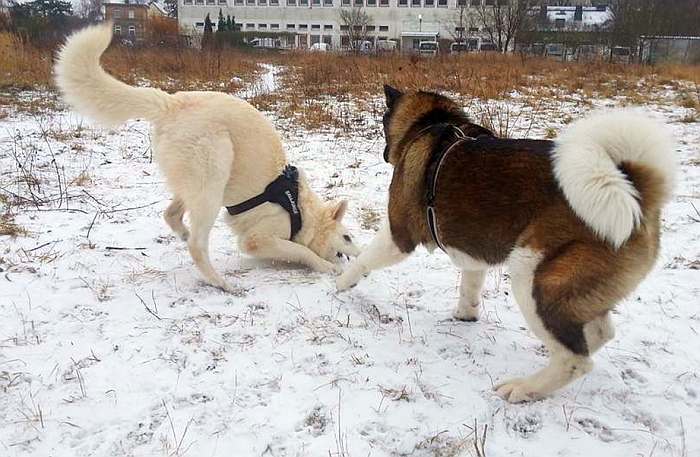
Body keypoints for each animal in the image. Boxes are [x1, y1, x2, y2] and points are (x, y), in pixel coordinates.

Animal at [56, 24, 360, 288]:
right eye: (347, 237)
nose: (358, 256)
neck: (300, 209)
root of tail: (172, 102)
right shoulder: (257, 239)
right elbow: (300, 251)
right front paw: (326, 267)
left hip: (196, 182)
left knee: (171, 214)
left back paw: (183, 233)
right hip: (213, 174)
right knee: (197, 245)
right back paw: (220, 282)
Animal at [336, 85, 676, 400]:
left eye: (383, 118)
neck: (433, 125)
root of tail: (633, 192)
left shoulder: (399, 235)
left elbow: (364, 259)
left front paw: (341, 284)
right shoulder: (472, 255)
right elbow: (469, 286)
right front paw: (466, 314)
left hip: (533, 278)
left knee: (575, 360)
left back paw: (524, 388)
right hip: (573, 288)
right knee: (599, 332)